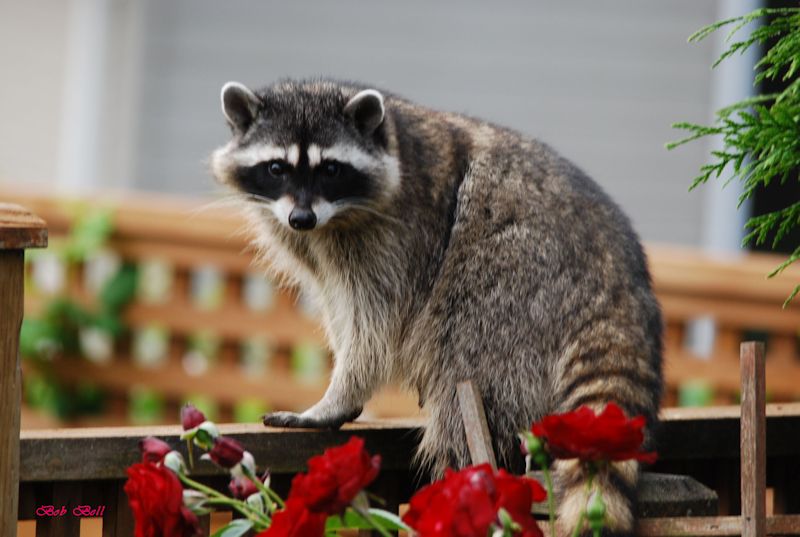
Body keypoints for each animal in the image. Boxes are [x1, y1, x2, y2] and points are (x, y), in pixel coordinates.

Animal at [211, 77, 664, 532]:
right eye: (276, 168)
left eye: (331, 169)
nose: (301, 218)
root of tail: (618, 281)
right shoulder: (306, 238)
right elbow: (339, 305)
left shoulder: (401, 234)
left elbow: (373, 324)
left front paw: (339, 394)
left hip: (514, 281)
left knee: (465, 378)